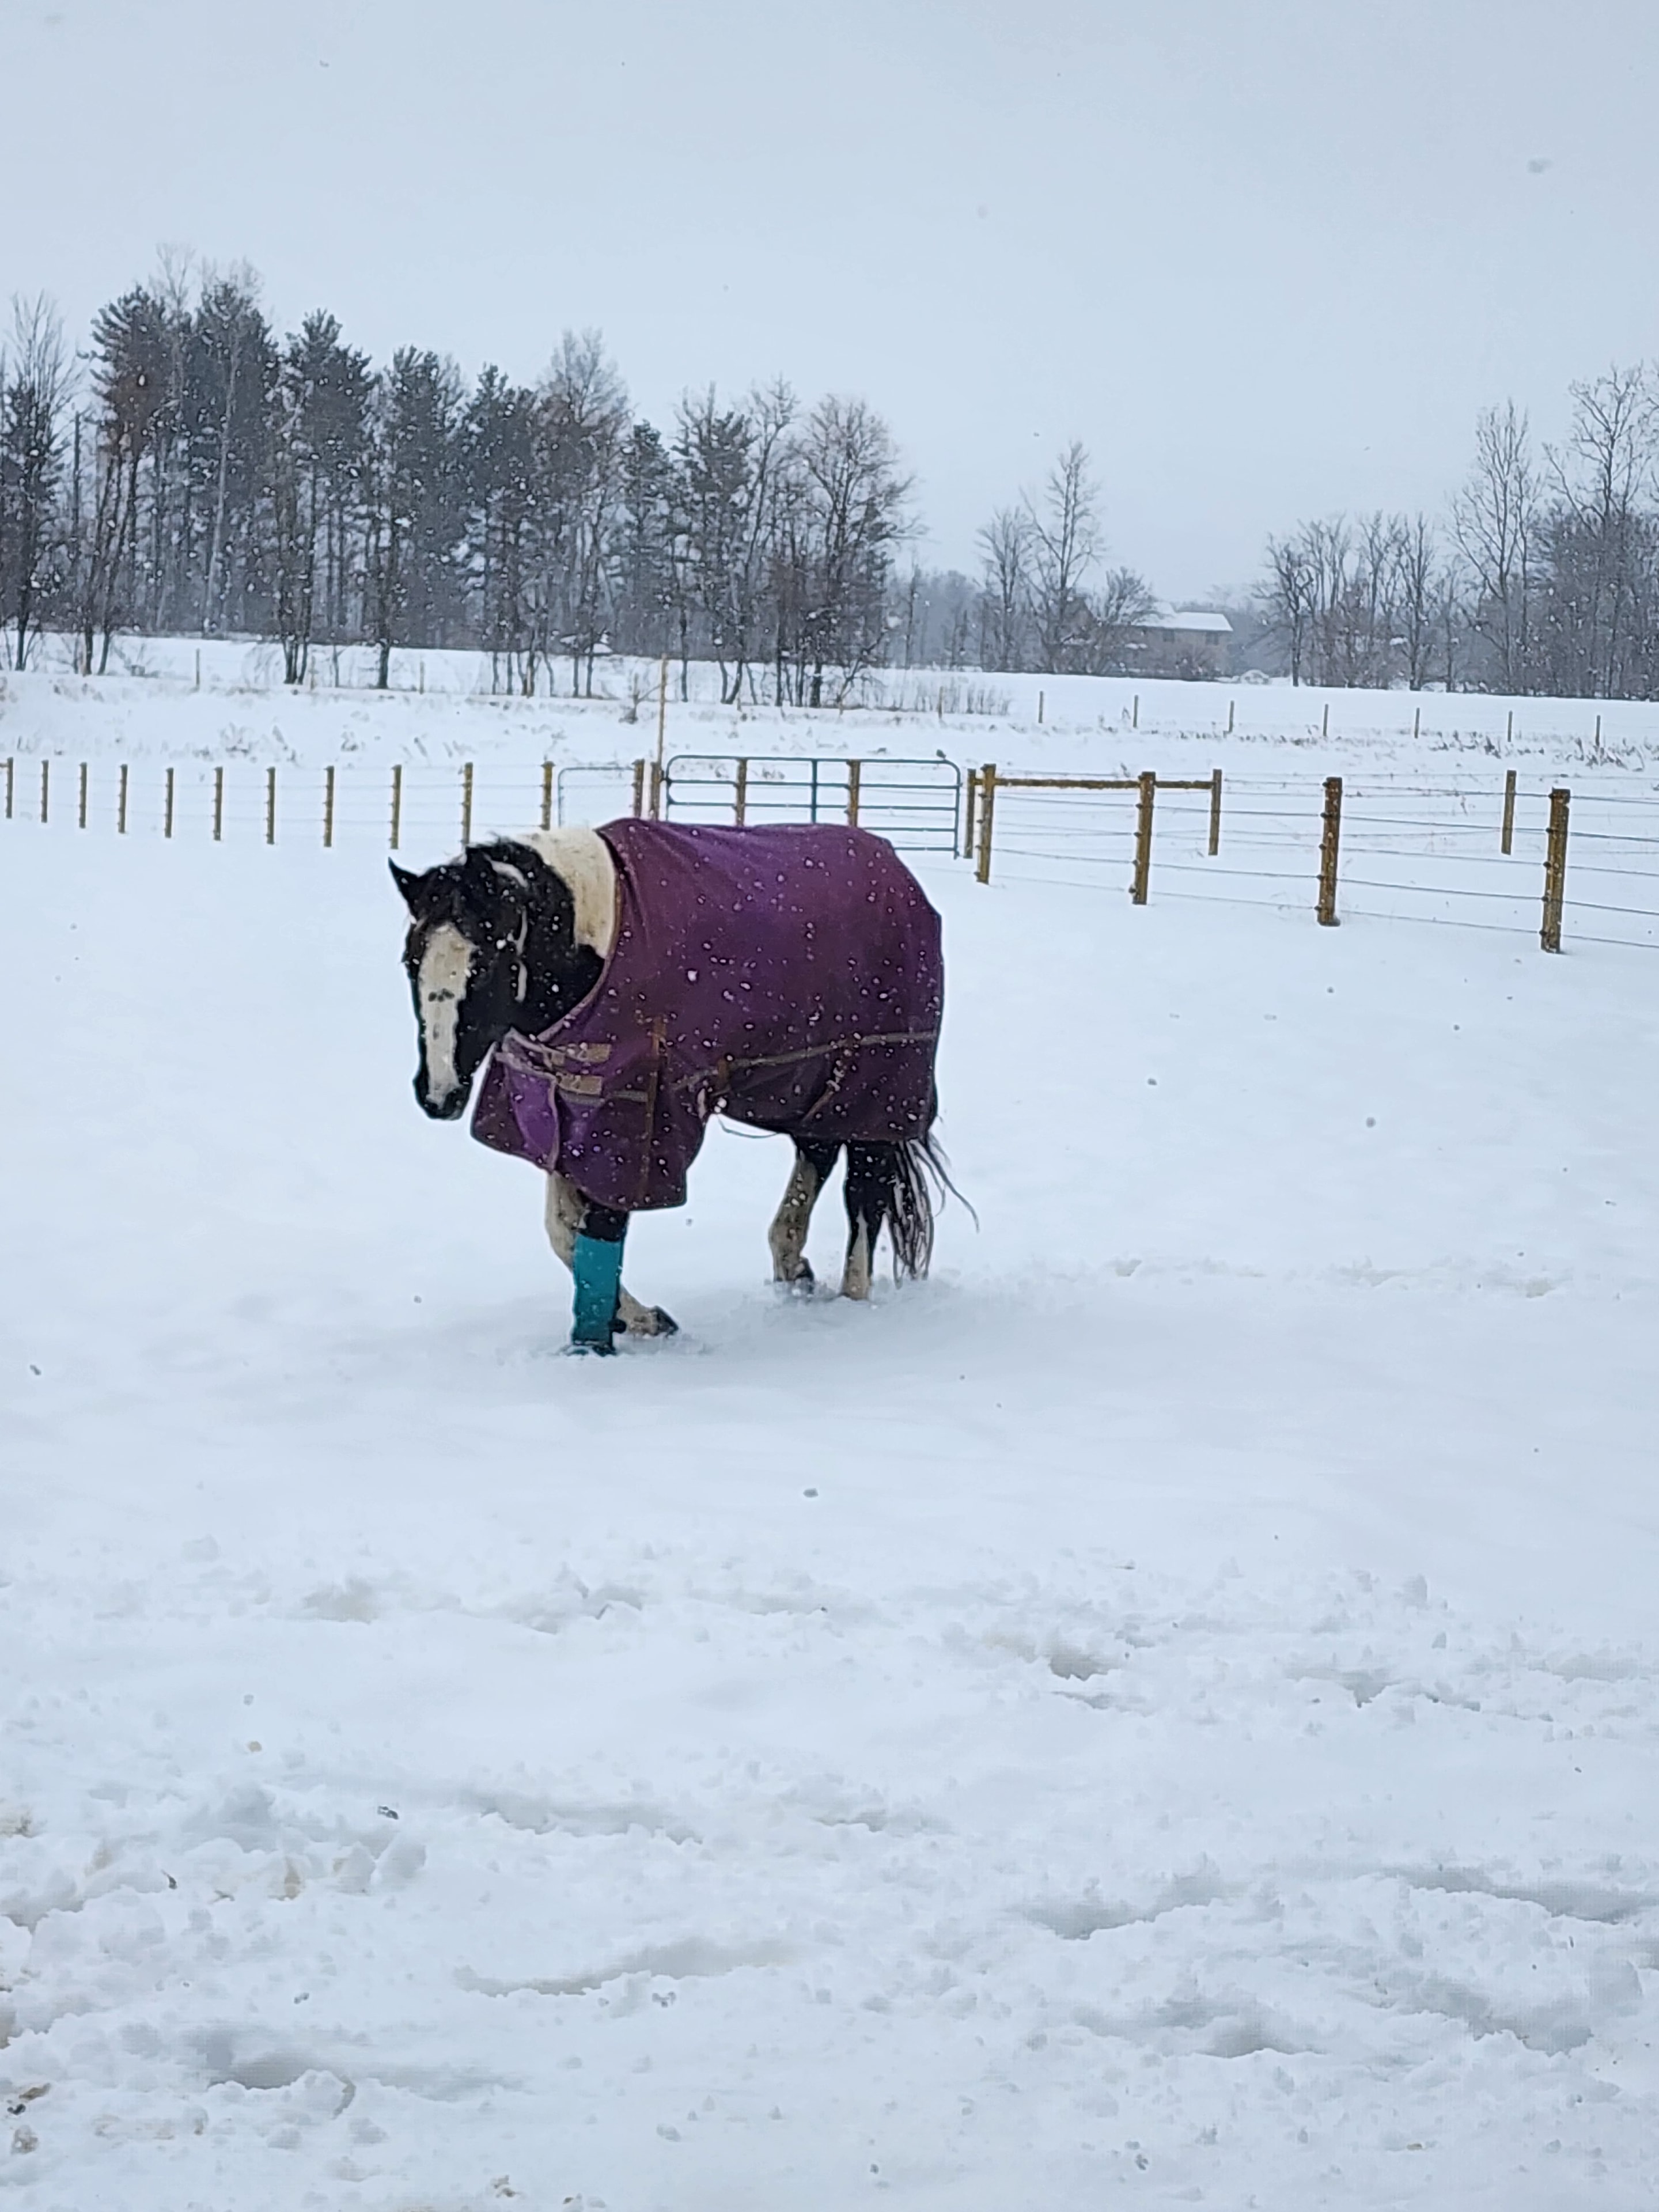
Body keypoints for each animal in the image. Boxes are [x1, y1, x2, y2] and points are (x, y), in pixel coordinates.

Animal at [391, 818, 946, 1352]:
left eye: (484, 963)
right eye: (411, 960)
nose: (437, 1094)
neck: (597, 942)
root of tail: (899, 871)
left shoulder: (635, 1121)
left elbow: (601, 1225)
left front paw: (599, 1342)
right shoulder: (571, 1112)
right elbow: (563, 1231)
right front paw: (635, 1322)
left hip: (878, 1086)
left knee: (865, 1190)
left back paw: (852, 1301)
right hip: (810, 1086)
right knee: (819, 1153)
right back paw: (794, 1268)